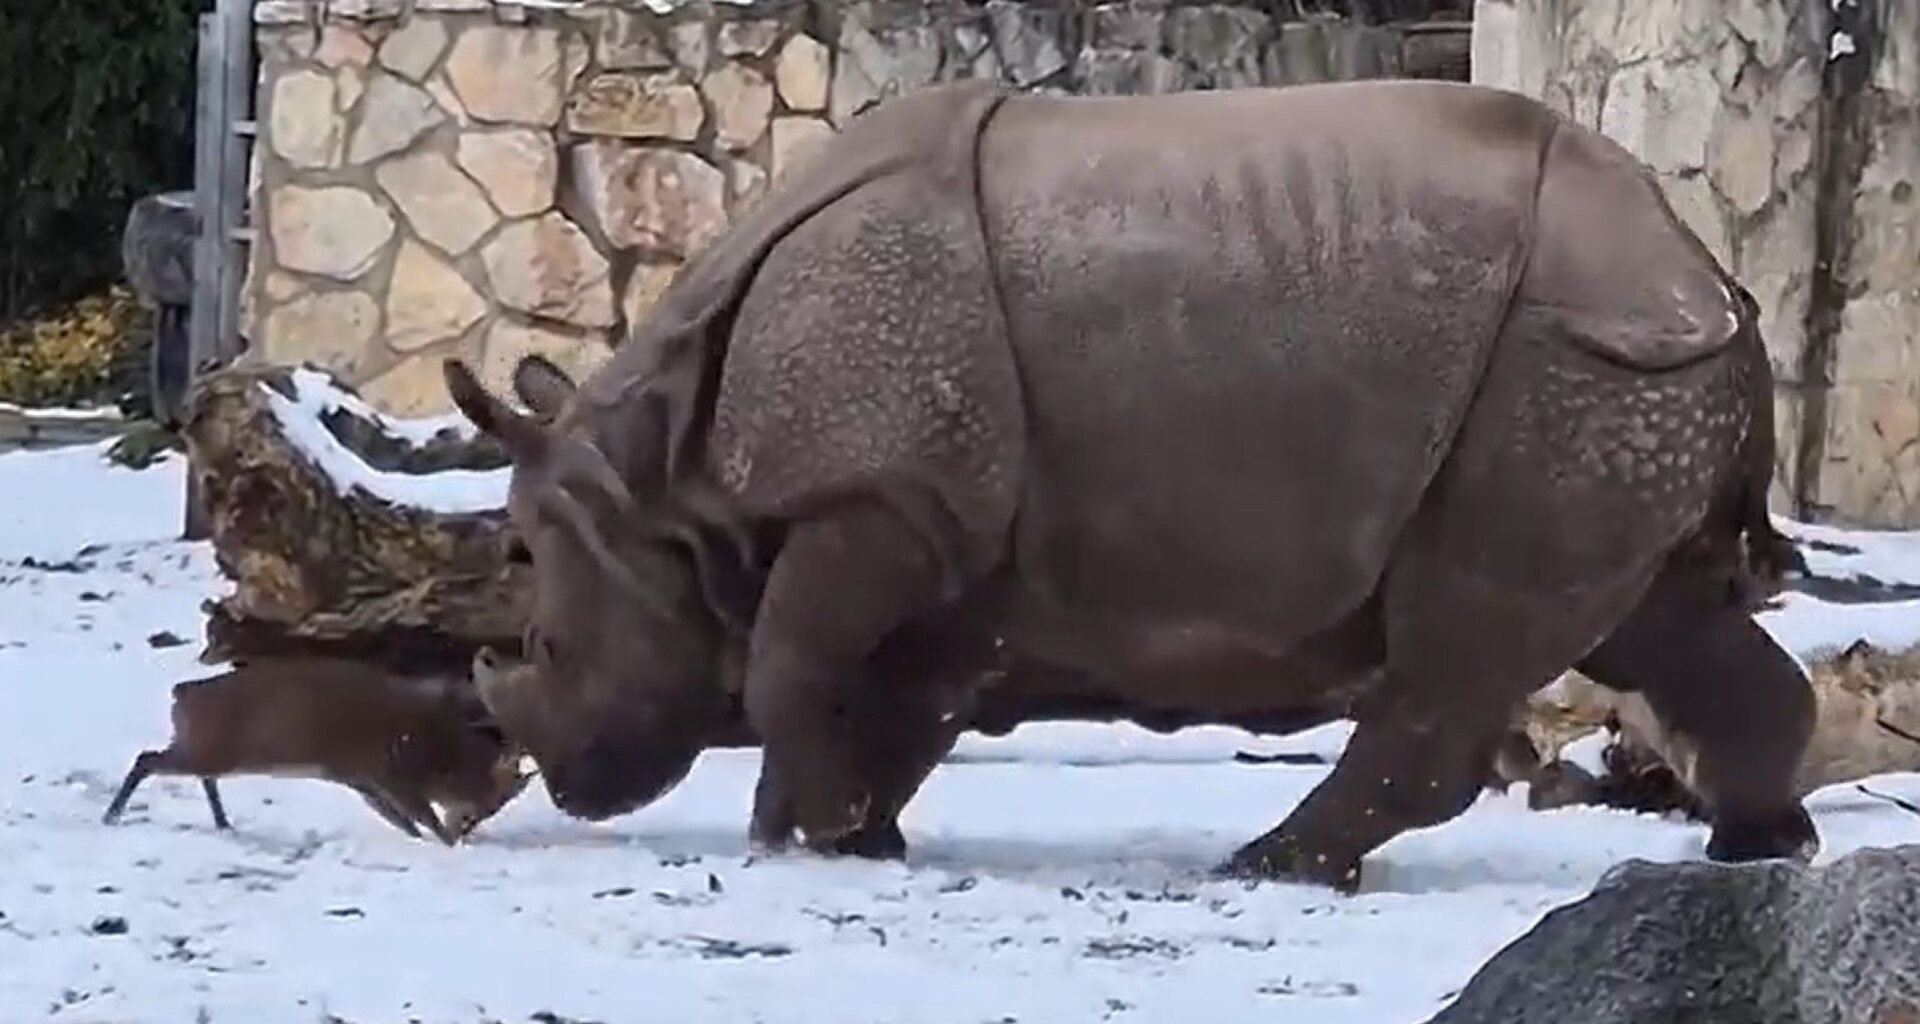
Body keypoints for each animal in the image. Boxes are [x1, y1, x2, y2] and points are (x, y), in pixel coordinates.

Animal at [101, 655, 534, 845]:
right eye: (492, 801)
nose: (468, 829)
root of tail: (182, 695)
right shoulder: (390, 771)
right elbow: (418, 815)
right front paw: (443, 841)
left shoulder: (359, 777)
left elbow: (397, 817)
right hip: (211, 747)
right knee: (148, 759)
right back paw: (112, 815)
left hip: (207, 747)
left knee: (192, 772)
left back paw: (224, 823)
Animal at [443, 78, 1818, 890]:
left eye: (545, 633)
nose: (566, 784)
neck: (662, 478)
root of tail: (1703, 267)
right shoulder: (954, 528)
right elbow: (899, 694)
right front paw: (840, 835)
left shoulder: (879, 497)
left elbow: (793, 662)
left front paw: (813, 839)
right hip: (1628, 380)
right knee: (1658, 617)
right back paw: (1759, 853)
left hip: (1570, 363)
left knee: (1466, 632)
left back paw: (1266, 865)